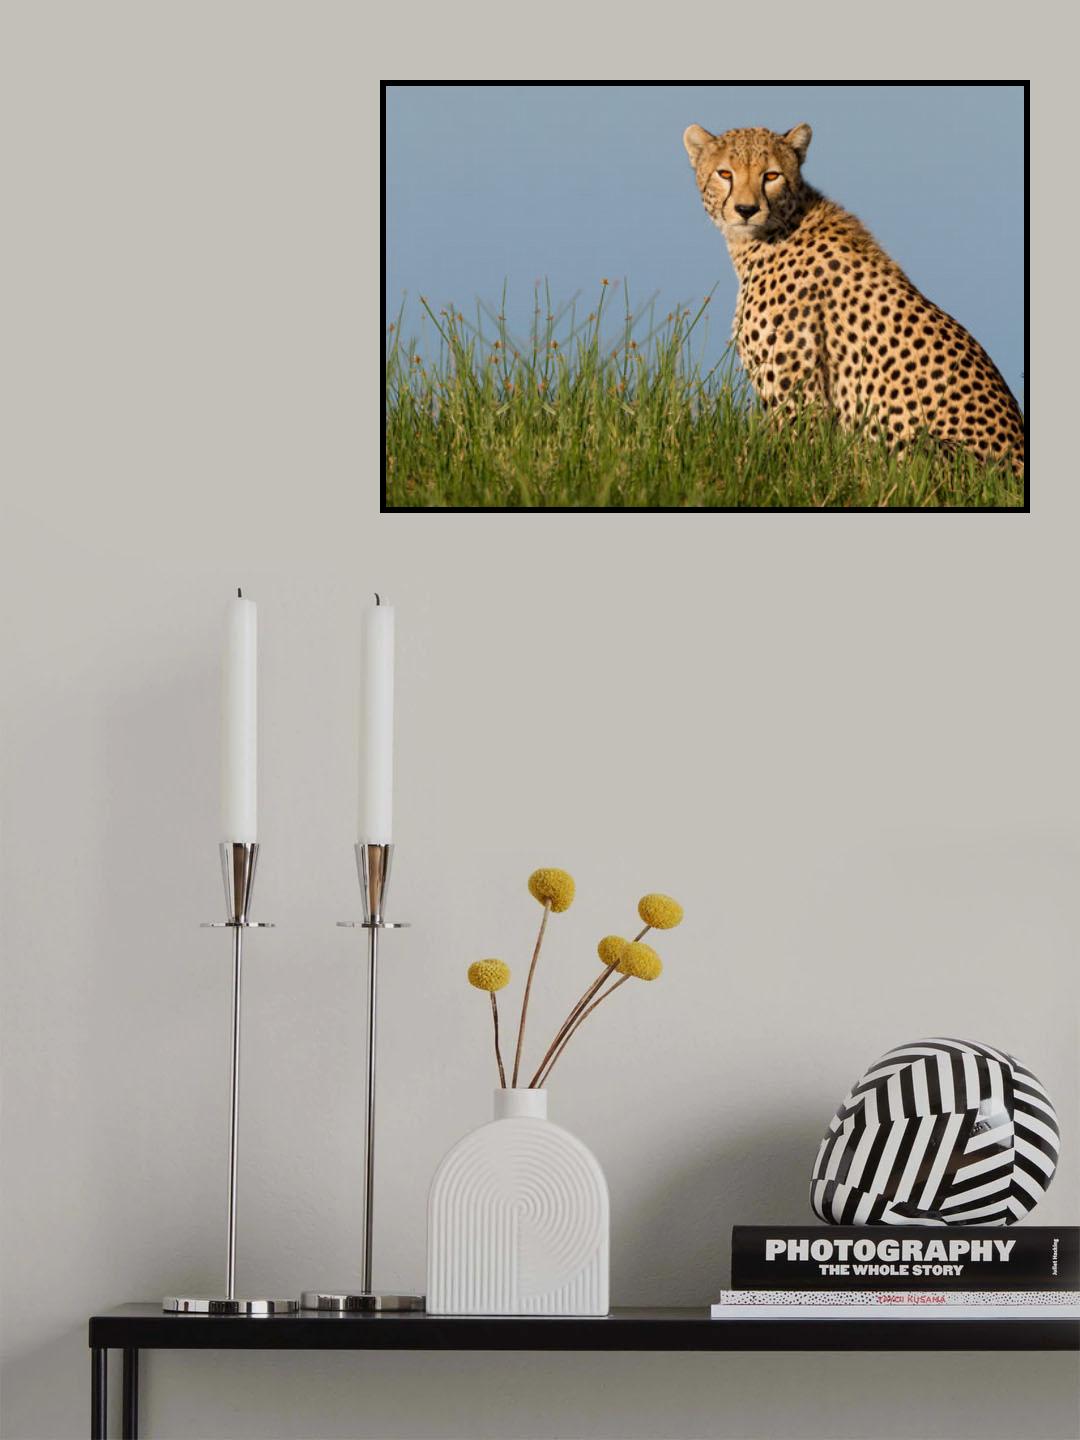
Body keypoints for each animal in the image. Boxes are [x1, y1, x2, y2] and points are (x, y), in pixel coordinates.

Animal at [682, 122, 1025, 476]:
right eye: (725, 173)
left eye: (771, 175)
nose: (746, 210)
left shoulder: (801, 399)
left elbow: (792, 461)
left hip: (924, 449)